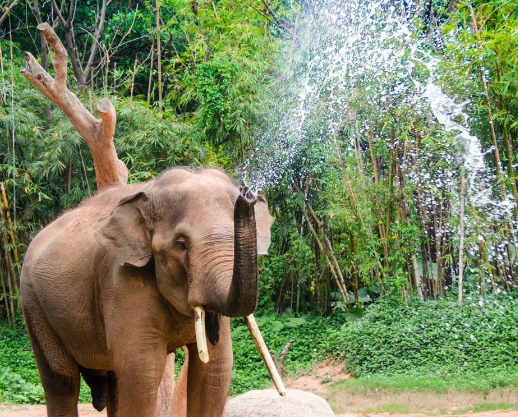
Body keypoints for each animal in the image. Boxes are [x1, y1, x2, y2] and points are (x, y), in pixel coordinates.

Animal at [19, 168, 276, 416]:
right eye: (181, 244)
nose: (247, 193)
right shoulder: (121, 281)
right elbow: (141, 369)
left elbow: (215, 369)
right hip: (33, 305)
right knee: (60, 378)